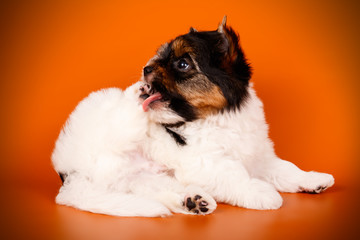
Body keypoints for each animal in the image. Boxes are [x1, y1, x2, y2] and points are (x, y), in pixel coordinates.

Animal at [51, 15, 334, 217]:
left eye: (183, 64)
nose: (146, 68)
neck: (215, 117)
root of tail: (68, 174)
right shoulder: (204, 160)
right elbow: (234, 173)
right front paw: (261, 192)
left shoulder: (257, 156)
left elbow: (285, 168)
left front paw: (313, 179)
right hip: (105, 129)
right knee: (122, 121)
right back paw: (136, 94)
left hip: (138, 180)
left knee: (160, 189)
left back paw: (193, 201)